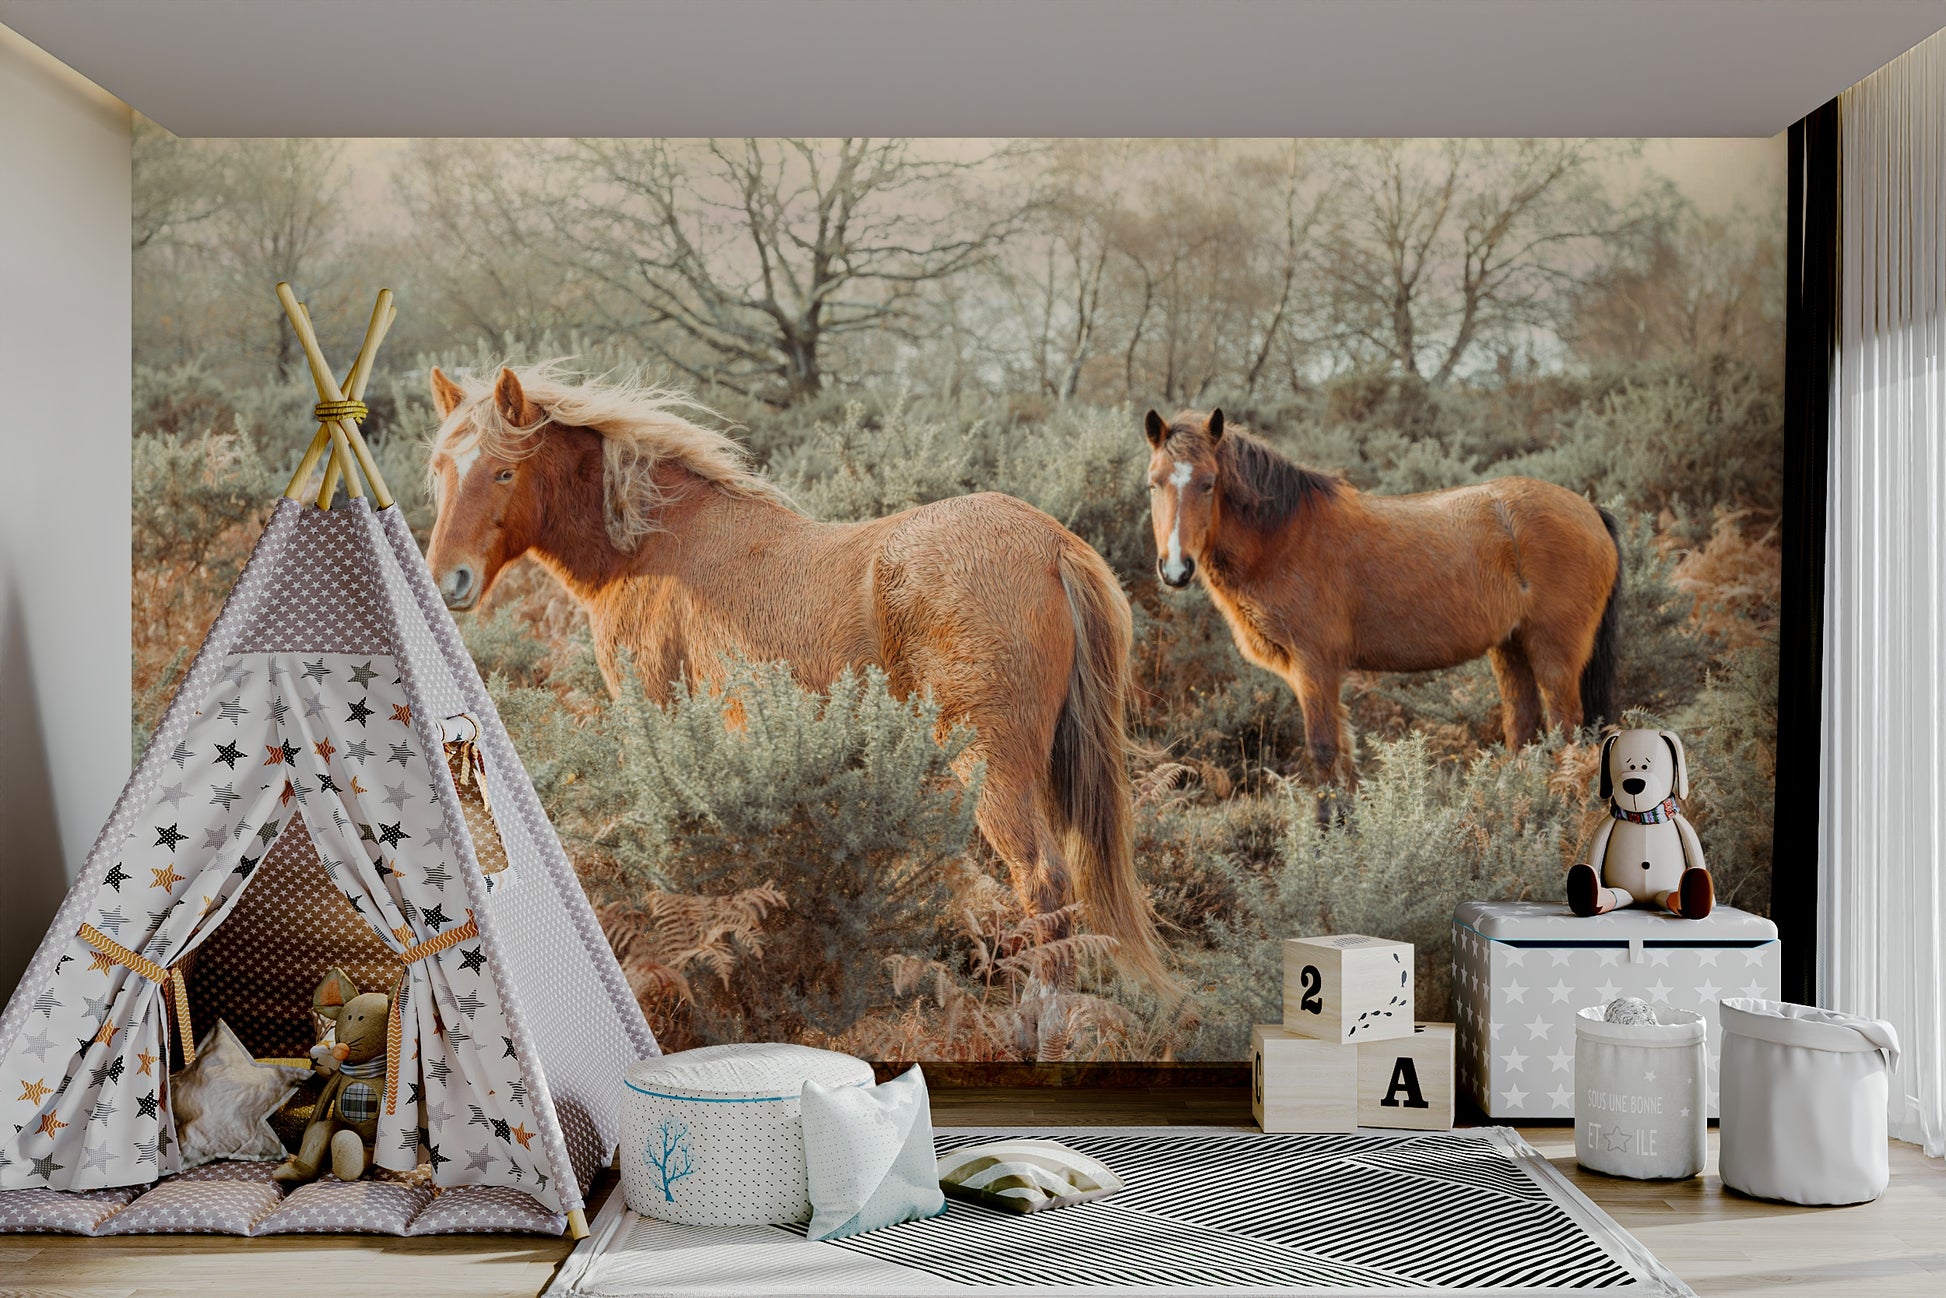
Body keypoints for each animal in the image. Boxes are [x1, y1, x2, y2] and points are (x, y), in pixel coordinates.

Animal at [422, 364, 1169, 988]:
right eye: (440, 471)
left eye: (503, 472)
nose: (446, 579)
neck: (653, 545)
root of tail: (1051, 543)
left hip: (992, 763)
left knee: (1040, 878)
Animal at [1143, 408, 1621, 791]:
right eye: (1153, 484)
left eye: (1208, 484)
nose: (1175, 569)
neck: (1284, 537)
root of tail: (1590, 511)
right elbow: (1344, 756)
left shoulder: (1315, 667)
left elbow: (1323, 752)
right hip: (1510, 649)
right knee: (1523, 731)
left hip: (1554, 657)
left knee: (1567, 737)